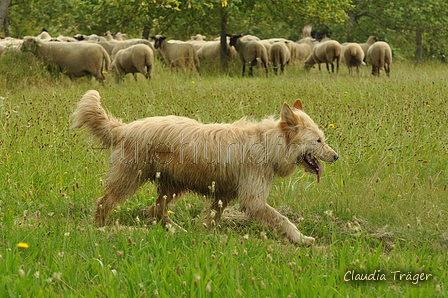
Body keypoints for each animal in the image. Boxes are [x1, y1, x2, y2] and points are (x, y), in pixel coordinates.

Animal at [72, 90, 336, 244]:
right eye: (318, 141)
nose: (336, 156)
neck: (267, 143)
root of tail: (124, 128)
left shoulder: (223, 195)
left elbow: (211, 219)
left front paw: (204, 235)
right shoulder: (253, 200)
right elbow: (283, 220)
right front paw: (301, 239)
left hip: (171, 185)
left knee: (155, 210)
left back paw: (178, 231)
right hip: (130, 180)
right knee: (105, 202)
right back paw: (101, 229)